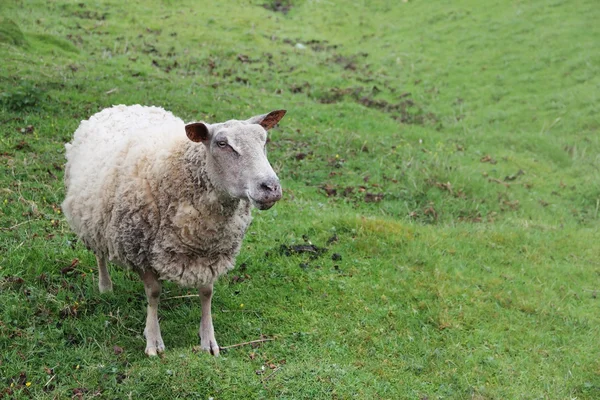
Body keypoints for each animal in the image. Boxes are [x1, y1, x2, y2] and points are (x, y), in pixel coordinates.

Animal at [62, 104, 288, 356]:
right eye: (222, 143)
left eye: (264, 140)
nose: (270, 187)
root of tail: (122, 106)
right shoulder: (140, 249)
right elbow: (153, 293)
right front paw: (153, 340)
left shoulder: (210, 253)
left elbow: (207, 293)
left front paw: (208, 340)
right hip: (94, 220)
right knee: (100, 255)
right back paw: (105, 287)